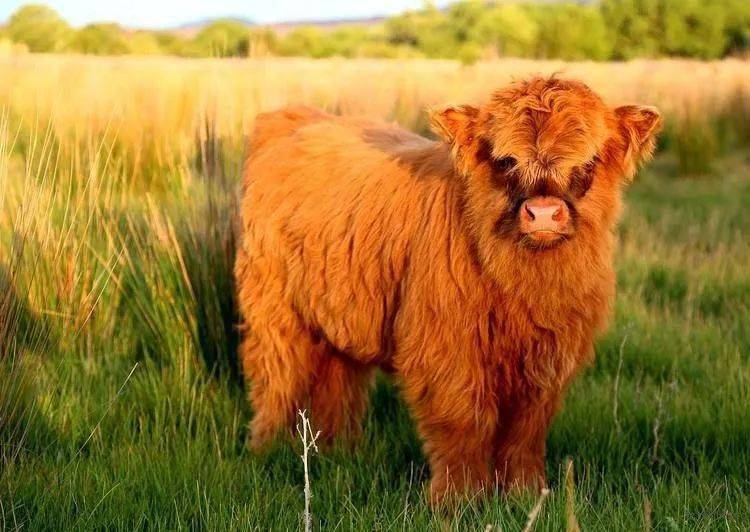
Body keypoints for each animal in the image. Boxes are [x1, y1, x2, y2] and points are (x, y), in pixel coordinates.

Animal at [236, 76, 664, 502]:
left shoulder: (549, 358)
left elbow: (526, 430)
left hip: (339, 313)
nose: (543, 214)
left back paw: (338, 449)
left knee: (337, 383)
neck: (526, 281)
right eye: (506, 160)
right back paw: (266, 449)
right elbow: (463, 422)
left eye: (587, 161)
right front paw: (460, 499)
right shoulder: (447, 350)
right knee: (277, 377)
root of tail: (294, 116)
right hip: (272, 307)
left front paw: (525, 494)